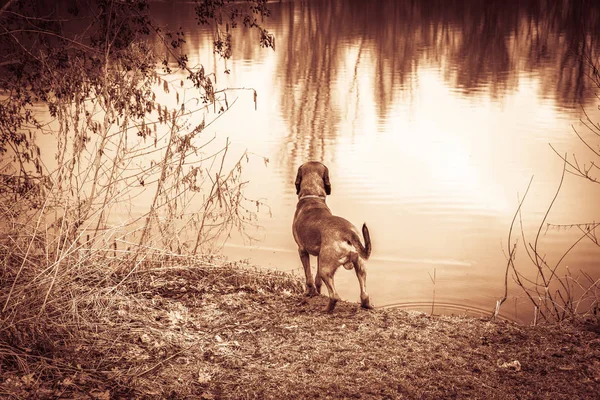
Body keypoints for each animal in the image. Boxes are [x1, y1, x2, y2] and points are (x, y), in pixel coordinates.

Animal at [292, 161, 372, 310]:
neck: (312, 196)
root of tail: (348, 232)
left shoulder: (302, 250)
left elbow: (309, 277)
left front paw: (310, 293)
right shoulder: (319, 255)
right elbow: (317, 279)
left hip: (326, 269)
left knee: (334, 296)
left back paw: (326, 310)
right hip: (360, 266)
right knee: (364, 294)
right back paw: (366, 305)